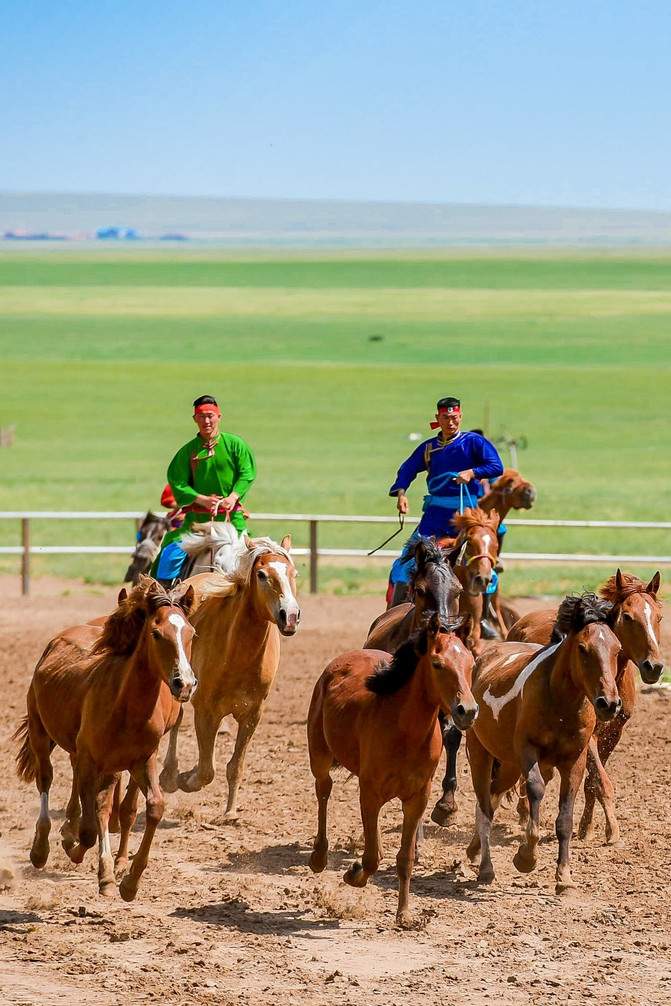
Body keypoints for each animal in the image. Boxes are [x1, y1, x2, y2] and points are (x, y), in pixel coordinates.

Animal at [14, 579, 195, 901]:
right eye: (156, 633)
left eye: (191, 633)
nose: (184, 684)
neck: (126, 705)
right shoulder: (90, 760)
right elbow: (88, 828)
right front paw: (73, 848)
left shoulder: (141, 761)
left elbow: (152, 807)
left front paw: (128, 881)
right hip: (40, 733)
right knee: (45, 779)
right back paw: (41, 849)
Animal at [159, 535, 299, 816]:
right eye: (261, 574)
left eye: (294, 573)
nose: (290, 616)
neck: (237, 655)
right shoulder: (205, 711)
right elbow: (206, 770)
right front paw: (185, 778)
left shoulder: (252, 714)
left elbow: (235, 766)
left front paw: (230, 813)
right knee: (176, 722)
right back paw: (169, 774)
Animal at [307, 611, 480, 925]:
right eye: (438, 664)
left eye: (471, 664)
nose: (468, 711)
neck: (405, 732)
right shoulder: (370, 792)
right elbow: (371, 858)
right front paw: (353, 874)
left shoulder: (417, 798)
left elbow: (404, 858)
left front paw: (405, 914)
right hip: (320, 757)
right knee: (323, 791)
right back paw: (318, 857)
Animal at [464, 591, 623, 893]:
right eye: (583, 648)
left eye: (618, 649)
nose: (608, 703)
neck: (560, 702)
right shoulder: (528, 753)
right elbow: (535, 790)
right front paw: (526, 857)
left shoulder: (574, 762)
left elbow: (565, 819)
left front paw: (564, 877)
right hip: (480, 754)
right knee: (484, 806)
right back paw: (486, 868)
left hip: (509, 766)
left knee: (491, 797)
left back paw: (474, 850)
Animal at [509, 571, 659, 845]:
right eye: (628, 617)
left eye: (658, 617)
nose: (654, 666)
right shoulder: (588, 735)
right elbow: (601, 780)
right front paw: (613, 829)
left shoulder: (614, 731)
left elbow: (592, 781)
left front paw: (586, 827)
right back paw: (524, 814)